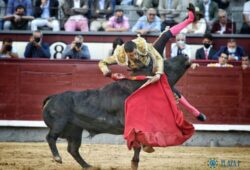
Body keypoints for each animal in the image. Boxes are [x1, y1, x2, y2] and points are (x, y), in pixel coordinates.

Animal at [42, 55, 191, 169]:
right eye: (166, 63)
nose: (185, 55)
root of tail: (53, 97)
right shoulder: (131, 126)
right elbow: (137, 145)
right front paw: (135, 163)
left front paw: (144, 151)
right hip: (60, 123)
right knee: (50, 137)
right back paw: (58, 158)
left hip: (75, 130)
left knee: (73, 149)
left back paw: (87, 166)